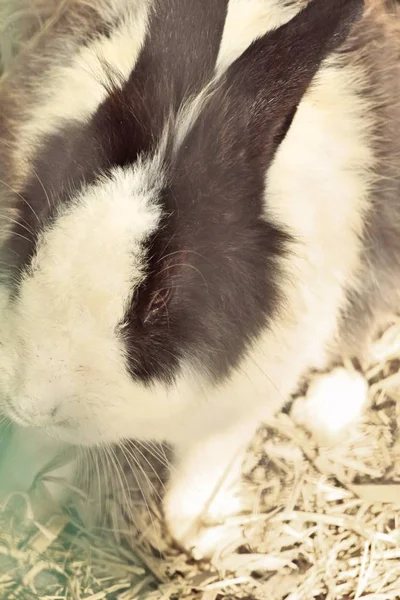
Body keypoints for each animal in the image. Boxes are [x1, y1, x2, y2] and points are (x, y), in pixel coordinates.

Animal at [0, 0, 400, 556]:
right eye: (36, 229)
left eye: (159, 300)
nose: (29, 403)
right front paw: (22, 497)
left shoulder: (241, 406)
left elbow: (197, 477)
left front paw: (205, 535)